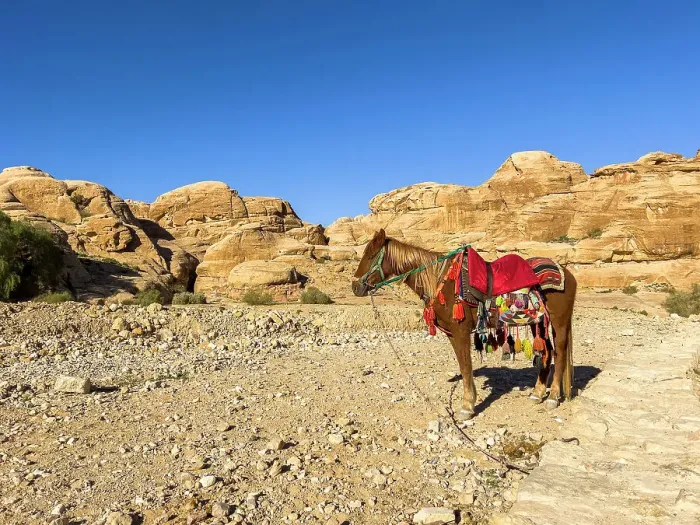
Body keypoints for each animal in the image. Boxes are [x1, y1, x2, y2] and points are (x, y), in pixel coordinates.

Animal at [352, 229, 576, 419]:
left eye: (370, 256)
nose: (355, 287)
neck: (439, 280)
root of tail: (568, 274)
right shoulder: (452, 333)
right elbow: (462, 364)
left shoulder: (460, 330)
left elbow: (466, 365)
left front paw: (467, 407)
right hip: (537, 322)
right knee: (546, 351)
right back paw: (538, 393)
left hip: (559, 321)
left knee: (559, 352)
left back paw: (553, 397)